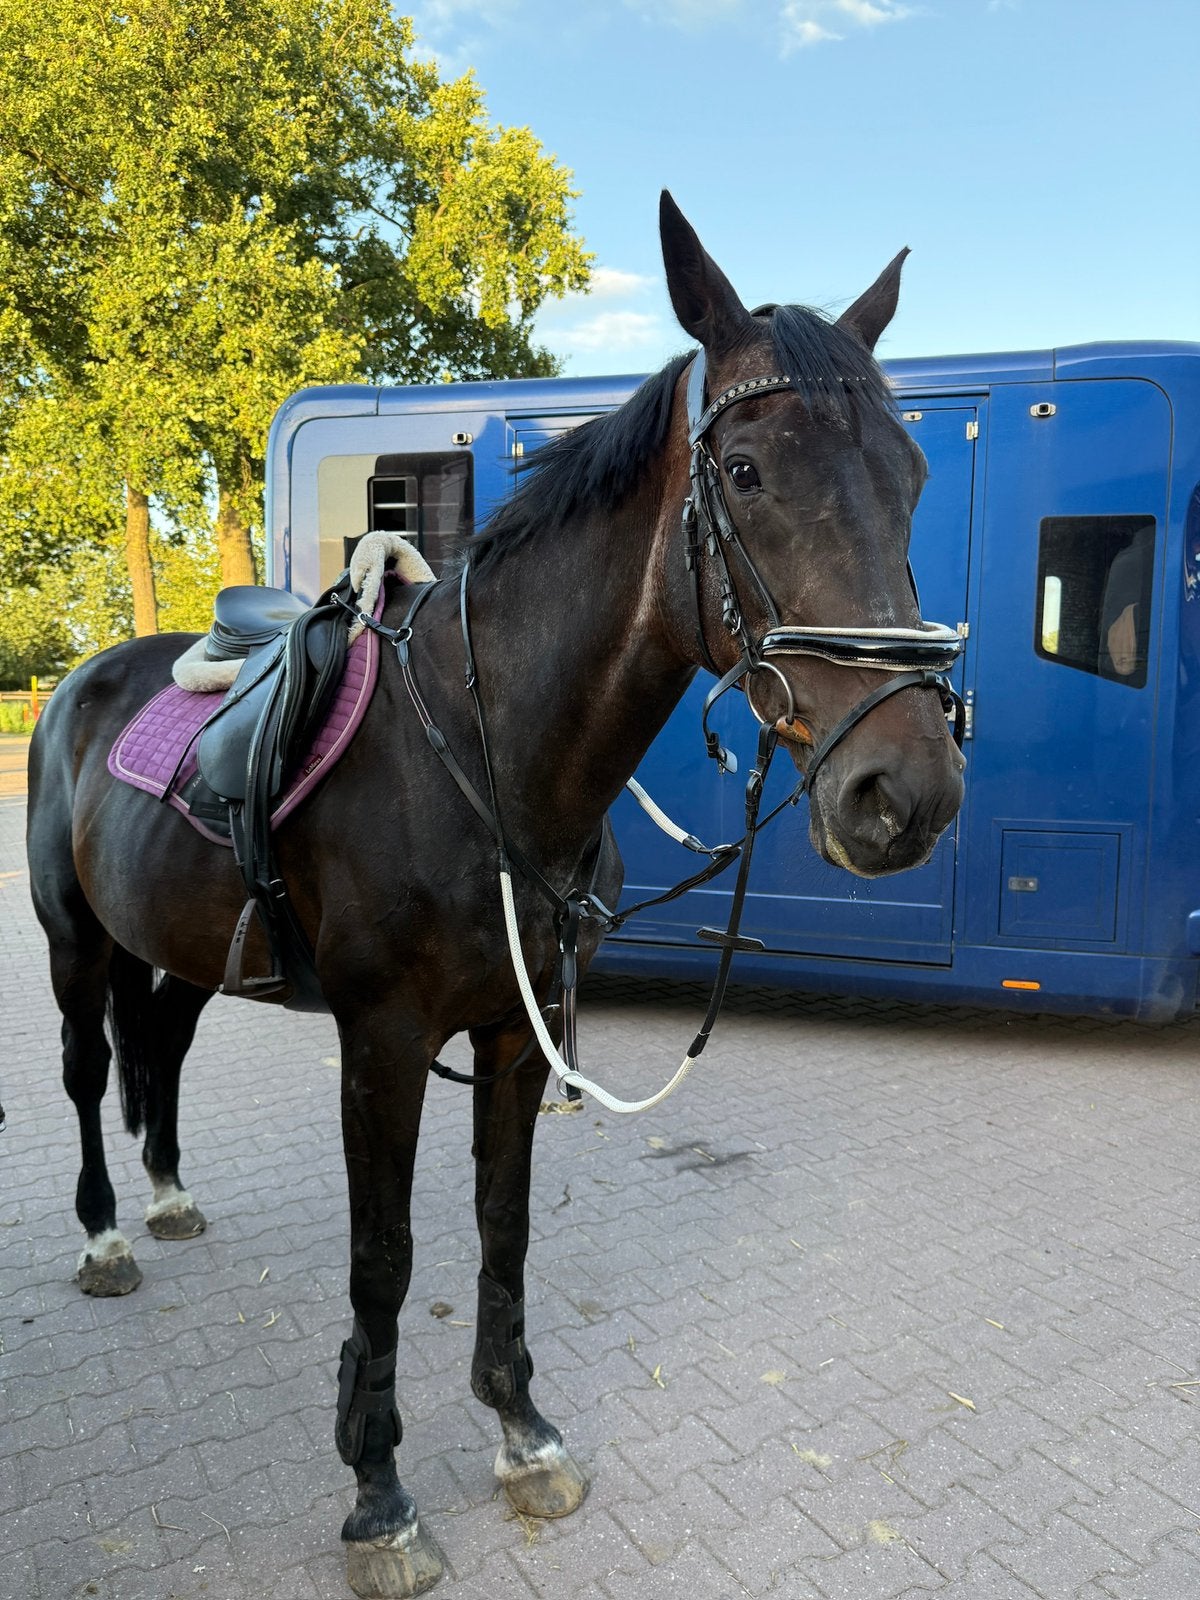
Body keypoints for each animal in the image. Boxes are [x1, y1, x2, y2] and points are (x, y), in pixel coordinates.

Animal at [26, 192, 966, 1598]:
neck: (481, 752)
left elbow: (504, 1230)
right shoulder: (382, 1045)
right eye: (747, 473)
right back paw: (104, 1238)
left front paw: (523, 1432)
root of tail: (81, 681)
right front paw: (379, 1495)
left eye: (910, 476)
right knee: (92, 1073)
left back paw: (172, 1194)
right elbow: (385, 1259)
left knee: (162, 1053)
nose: (905, 792)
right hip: (74, 943)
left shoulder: (518, 1038)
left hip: (185, 955)